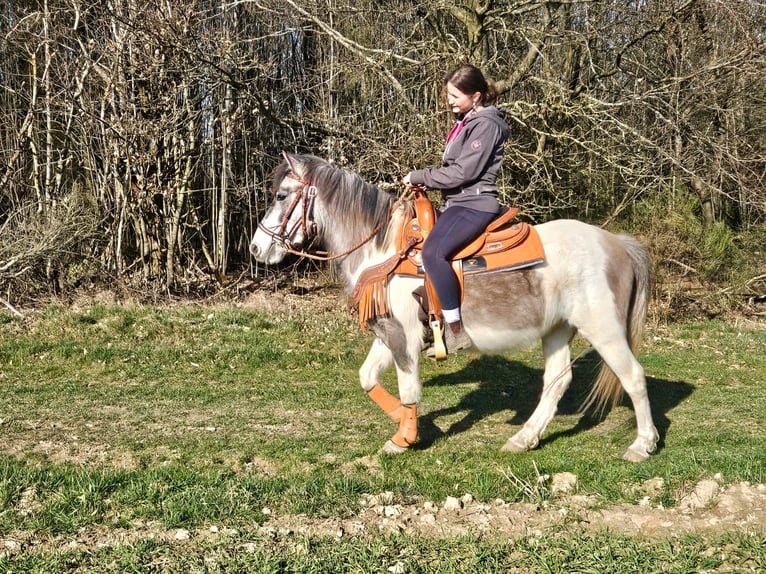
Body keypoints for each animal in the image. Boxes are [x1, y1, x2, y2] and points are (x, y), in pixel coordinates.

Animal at [250, 153, 659, 462]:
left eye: (282, 196)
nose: (256, 248)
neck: (383, 252)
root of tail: (617, 244)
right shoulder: (387, 333)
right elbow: (367, 378)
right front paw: (404, 423)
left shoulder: (404, 337)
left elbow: (409, 389)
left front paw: (404, 439)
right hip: (558, 329)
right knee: (557, 382)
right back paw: (524, 438)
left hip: (603, 329)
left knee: (633, 376)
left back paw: (642, 445)